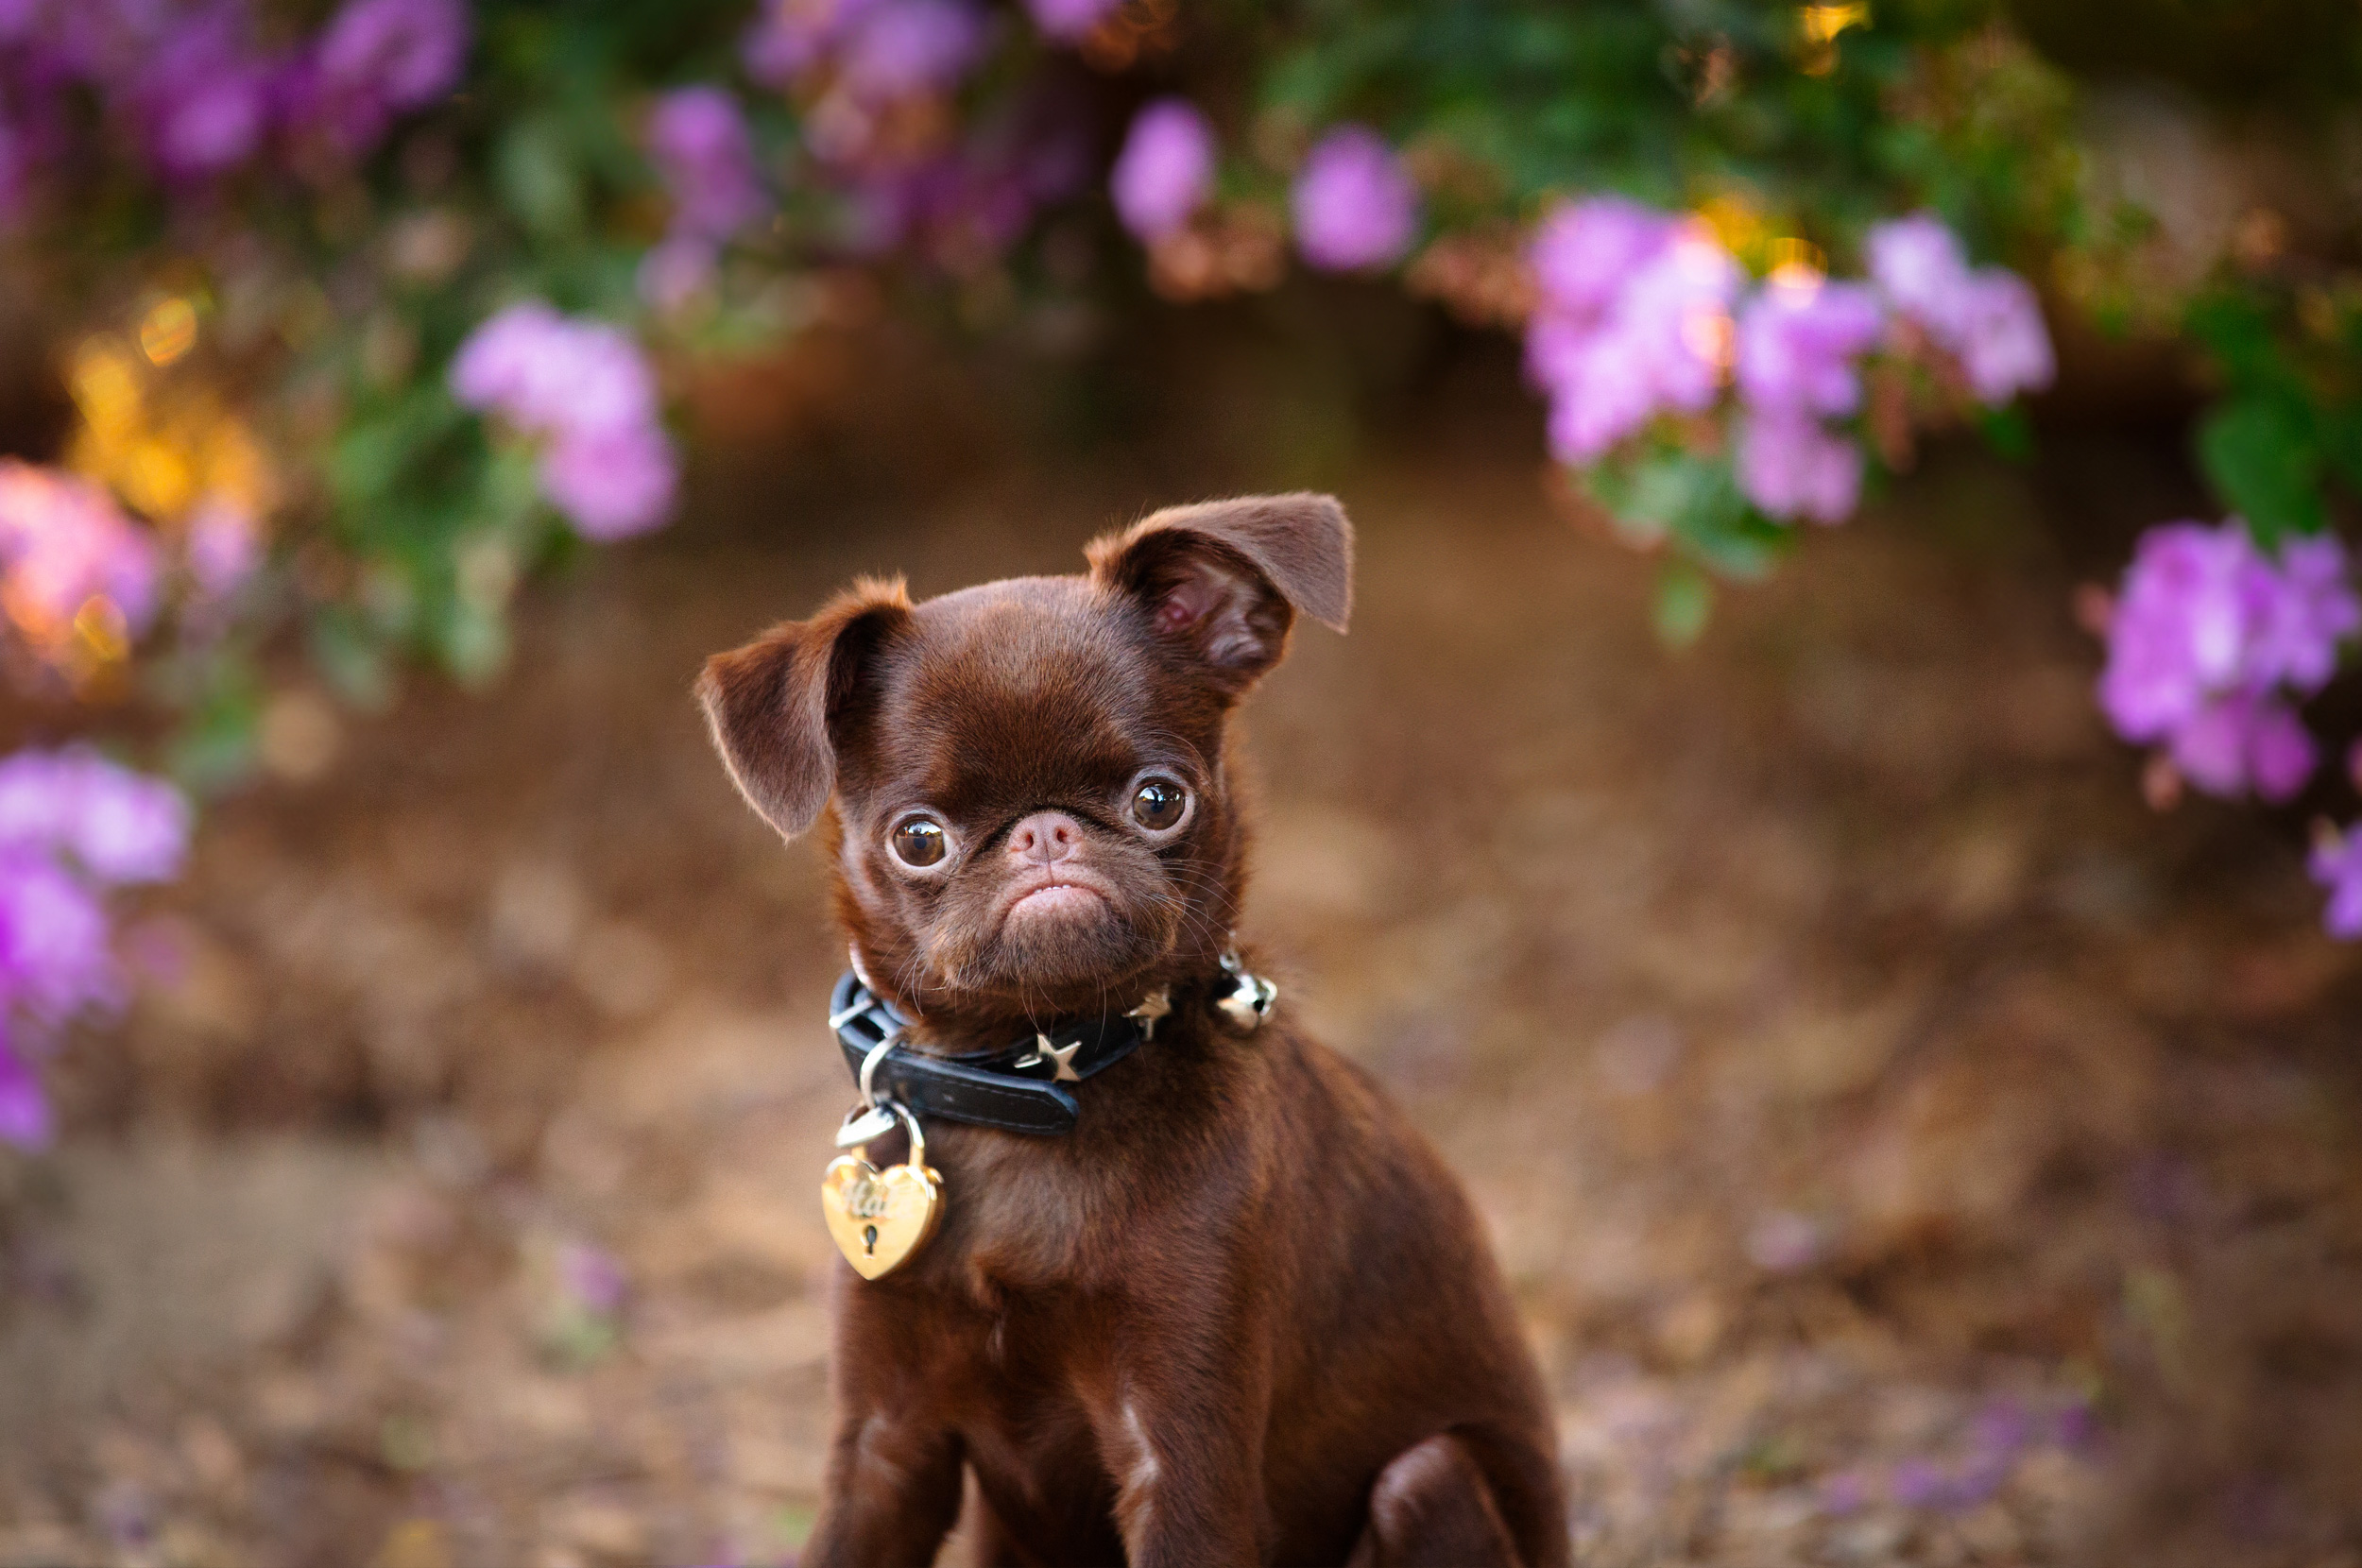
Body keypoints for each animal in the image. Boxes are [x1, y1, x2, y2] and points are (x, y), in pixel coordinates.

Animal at [694, 496, 1568, 1559]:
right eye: (919, 838)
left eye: (1159, 799)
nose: (1044, 831)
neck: (1031, 1084)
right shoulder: (881, 1448)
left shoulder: (1181, 1458)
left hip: (1427, 1481)